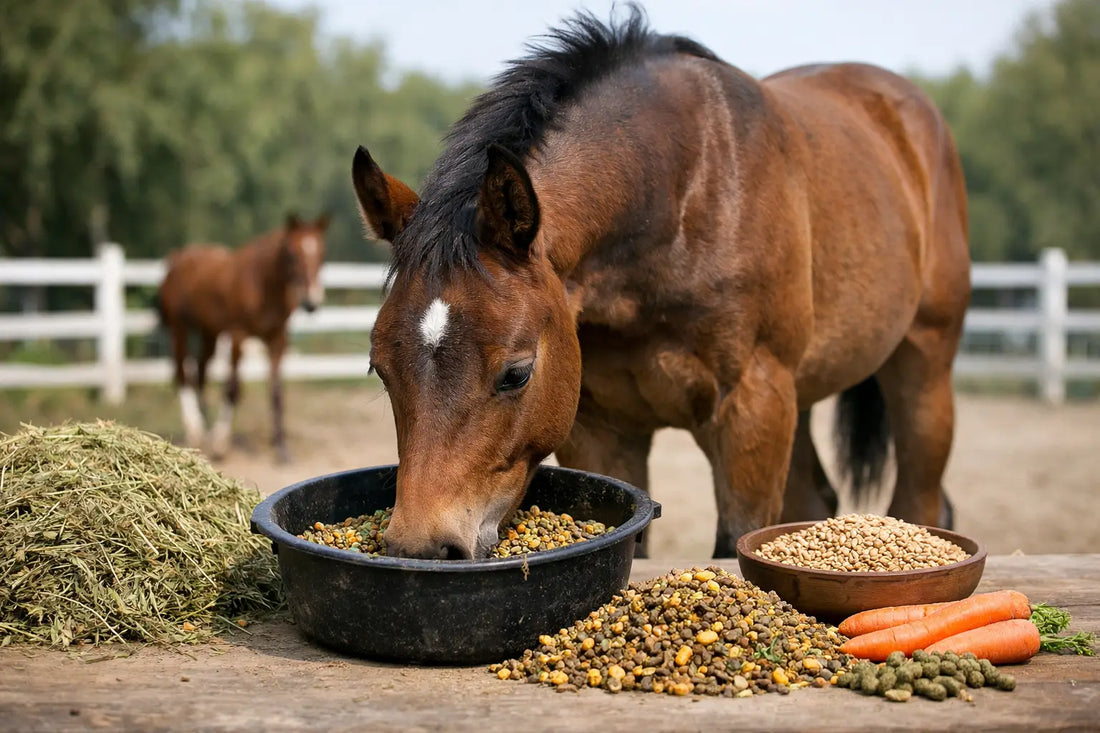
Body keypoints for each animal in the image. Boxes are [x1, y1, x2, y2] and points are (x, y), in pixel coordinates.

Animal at [155, 213, 329, 463]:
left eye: (322, 254)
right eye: (291, 254)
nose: (311, 301)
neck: (262, 284)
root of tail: (177, 257)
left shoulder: (277, 340)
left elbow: (276, 392)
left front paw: (281, 448)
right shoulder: (238, 336)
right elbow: (232, 389)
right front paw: (220, 444)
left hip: (210, 333)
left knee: (200, 371)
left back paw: (206, 426)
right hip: (180, 330)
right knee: (182, 375)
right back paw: (195, 430)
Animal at [352, 6, 971, 559]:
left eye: (516, 374)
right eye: (381, 369)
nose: (424, 548)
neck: (681, 190)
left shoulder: (753, 409)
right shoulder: (603, 429)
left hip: (921, 371)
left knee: (920, 497)